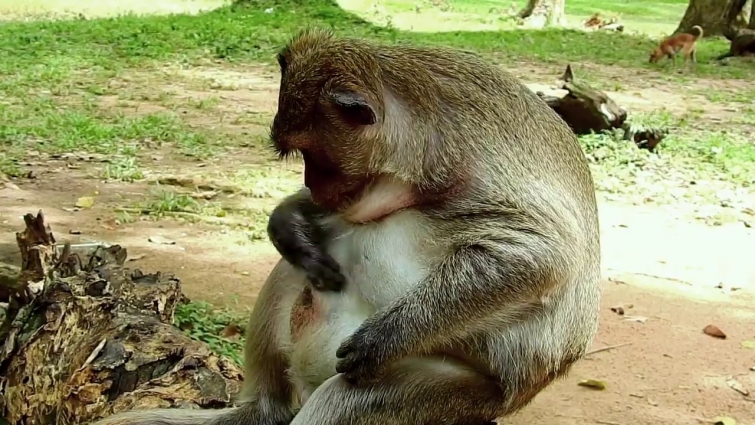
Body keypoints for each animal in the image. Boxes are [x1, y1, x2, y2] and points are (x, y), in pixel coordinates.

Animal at [87, 27, 601, 425]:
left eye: (318, 159)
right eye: (302, 159)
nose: (313, 183)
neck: (424, 130)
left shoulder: (474, 172)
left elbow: (538, 256)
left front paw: (388, 335)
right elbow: (318, 229)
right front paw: (289, 224)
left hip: (459, 395)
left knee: (344, 399)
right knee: (294, 274)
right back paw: (260, 408)